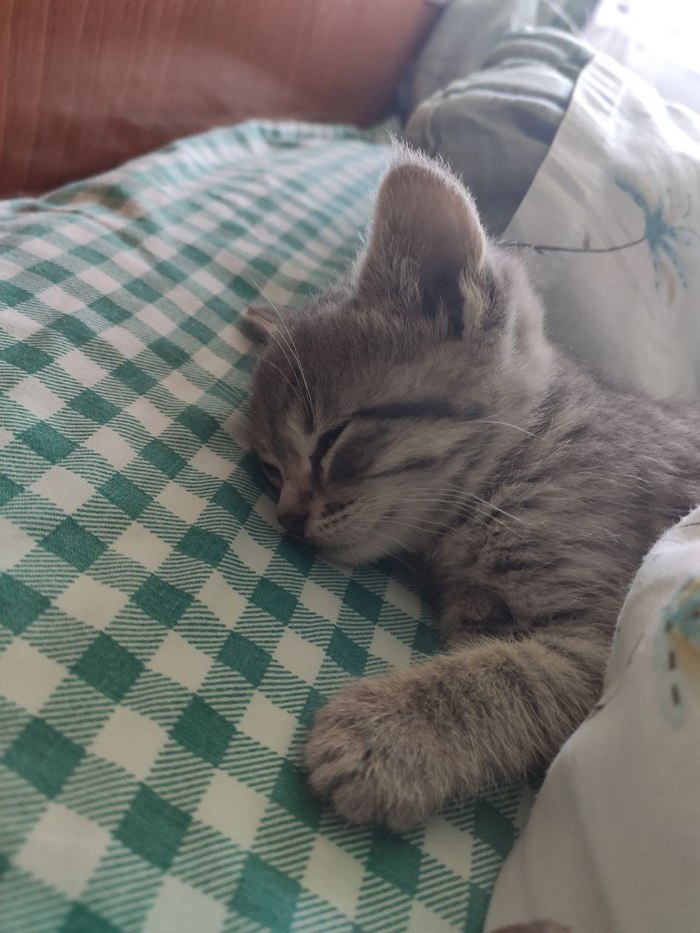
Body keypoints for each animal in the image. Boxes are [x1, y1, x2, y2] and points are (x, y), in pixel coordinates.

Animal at [244, 150, 700, 831]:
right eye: (271, 468)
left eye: (328, 441)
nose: (288, 517)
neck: (530, 454)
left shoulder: (610, 640)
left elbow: (509, 675)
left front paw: (386, 738)